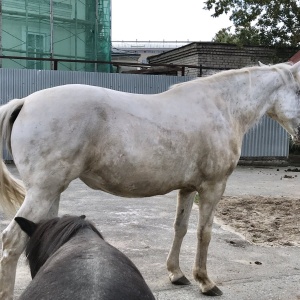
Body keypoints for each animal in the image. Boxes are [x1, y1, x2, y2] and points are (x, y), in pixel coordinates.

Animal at [0, 62, 298, 298]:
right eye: (298, 90)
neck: (221, 108)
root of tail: (24, 102)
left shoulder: (188, 189)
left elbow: (180, 228)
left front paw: (177, 274)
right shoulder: (213, 188)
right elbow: (204, 233)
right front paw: (205, 281)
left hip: (51, 194)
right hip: (42, 192)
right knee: (11, 242)